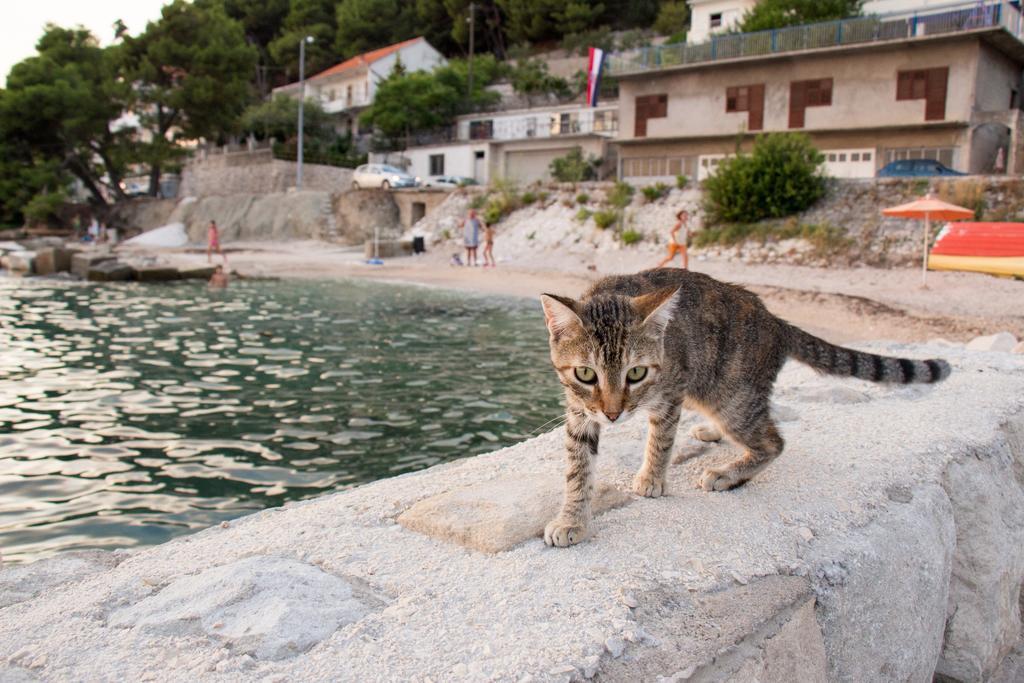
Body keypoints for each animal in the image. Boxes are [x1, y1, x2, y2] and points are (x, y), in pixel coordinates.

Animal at [540, 270, 946, 548]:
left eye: (635, 373)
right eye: (586, 374)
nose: (613, 414)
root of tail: (776, 321)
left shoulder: (671, 391)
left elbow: (661, 441)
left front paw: (652, 478)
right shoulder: (579, 412)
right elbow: (578, 469)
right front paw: (572, 519)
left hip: (731, 397)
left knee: (773, 442)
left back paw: (728, 472)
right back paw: (711, 431)